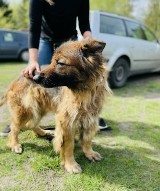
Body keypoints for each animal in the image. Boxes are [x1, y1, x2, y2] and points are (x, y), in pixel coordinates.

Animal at [0, 39, 111, 173]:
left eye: (60, 63)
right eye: (52, 61)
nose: (35, 77)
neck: (85, 91)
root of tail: (17, 79)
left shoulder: (90, 119)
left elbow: (87, 139)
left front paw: (89, 153)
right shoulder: (66, 121)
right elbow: (68, 145)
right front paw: (70, 164)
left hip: (38, 109)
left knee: (30, 124)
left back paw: (43, 132)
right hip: (24, 111)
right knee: (14, 128)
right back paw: (15, 144)